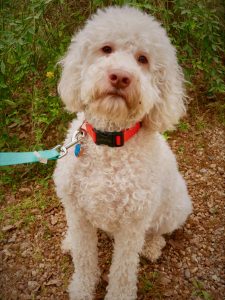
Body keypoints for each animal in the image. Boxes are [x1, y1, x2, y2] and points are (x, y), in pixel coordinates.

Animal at [52, 5, 192, 298]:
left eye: (143, 59)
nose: (120, 76)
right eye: (106, 49)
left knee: (158, 232)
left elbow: (124, 270)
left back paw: (152, 247)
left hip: (173, 210)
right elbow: (84, 258)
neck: (109, 142)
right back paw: (70, 241)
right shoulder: (77, 211)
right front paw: (82, 288)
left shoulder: (132, 225)